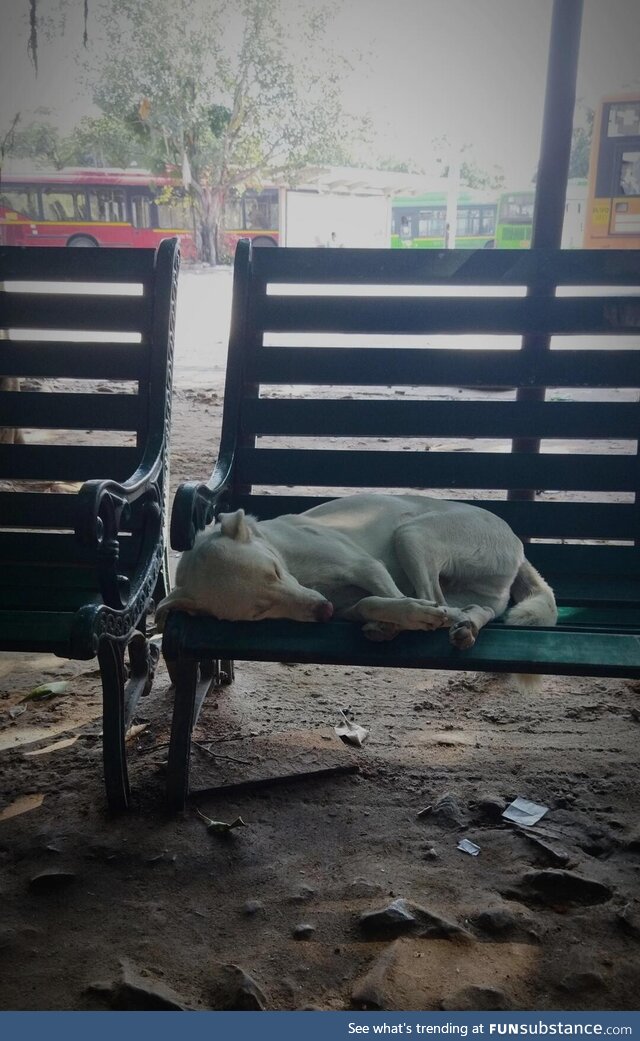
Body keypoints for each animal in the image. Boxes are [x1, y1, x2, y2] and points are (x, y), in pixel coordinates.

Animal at [155, 491, 557, 645]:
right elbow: (367, 603)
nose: (323, 611)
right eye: (258, 612)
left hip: (411, 534)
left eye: (275, 572)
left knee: (435, 597)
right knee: (475, 608)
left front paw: (410, 616)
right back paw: (464, 625)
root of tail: (518, 545)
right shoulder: (346, 602)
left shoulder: (367, 566)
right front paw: (389, 619)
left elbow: (392, 598)